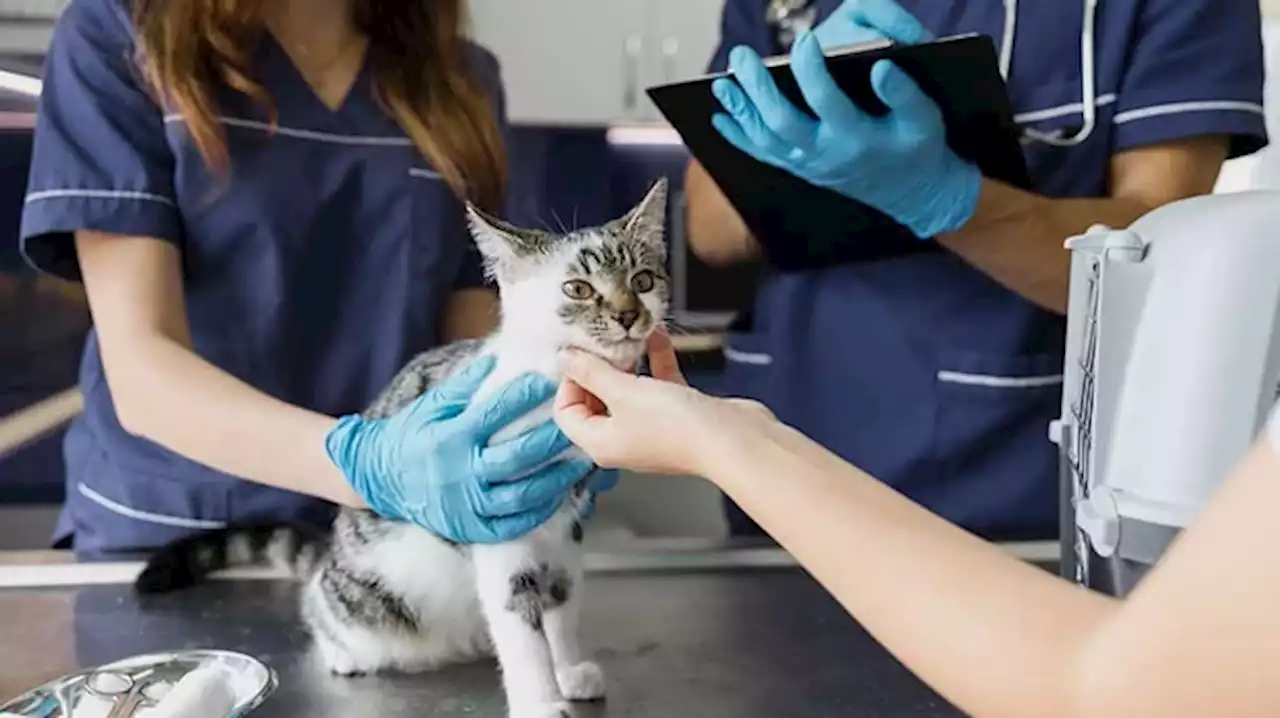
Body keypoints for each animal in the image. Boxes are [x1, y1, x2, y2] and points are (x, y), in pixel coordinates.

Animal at [135, 175, 675, 716]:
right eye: (578, 289)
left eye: (644, 280)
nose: (628, 315)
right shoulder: (500, 531)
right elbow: (521, 628)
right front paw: (540, 700)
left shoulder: (566, 529)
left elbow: (560, 605)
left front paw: (568, 669)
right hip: (366, 600)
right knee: (319, 603)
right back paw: (342, 651)